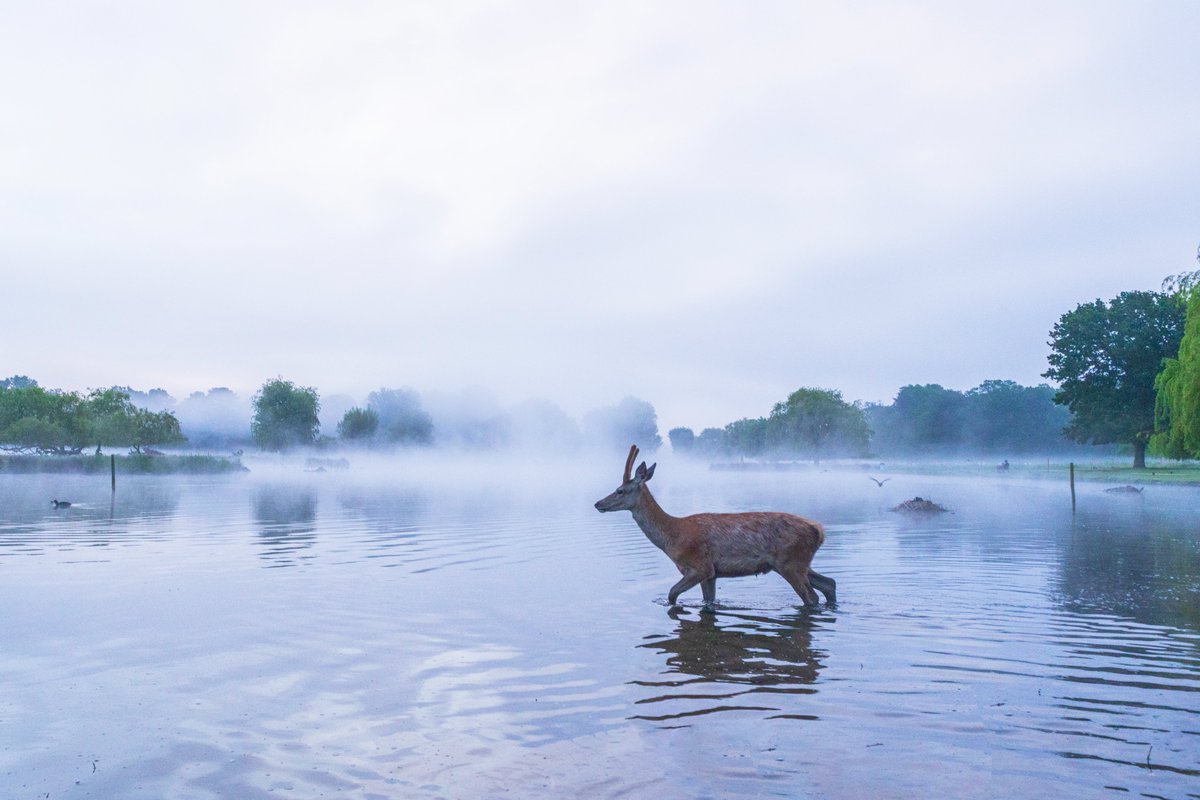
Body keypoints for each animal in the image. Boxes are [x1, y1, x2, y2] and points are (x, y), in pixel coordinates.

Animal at [590, 443, 835, 606]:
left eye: (620, 490)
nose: (598, 503)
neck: (672, 537)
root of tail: (819, 531)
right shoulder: (712, 573)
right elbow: (709, 603)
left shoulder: (699, 565)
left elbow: (671, 594)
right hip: (797, 563)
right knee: (829, 583)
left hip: (790, 562)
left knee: (812, 597)